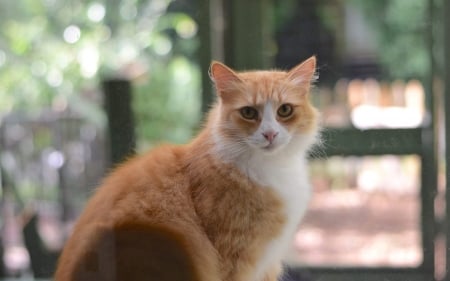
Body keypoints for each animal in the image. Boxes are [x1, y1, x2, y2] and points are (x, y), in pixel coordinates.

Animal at [53, 55, 320, 280]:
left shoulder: (268, 263)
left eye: (284, 110)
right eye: (248, 112)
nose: (270, 134)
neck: (273, 169)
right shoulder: (238, 260)